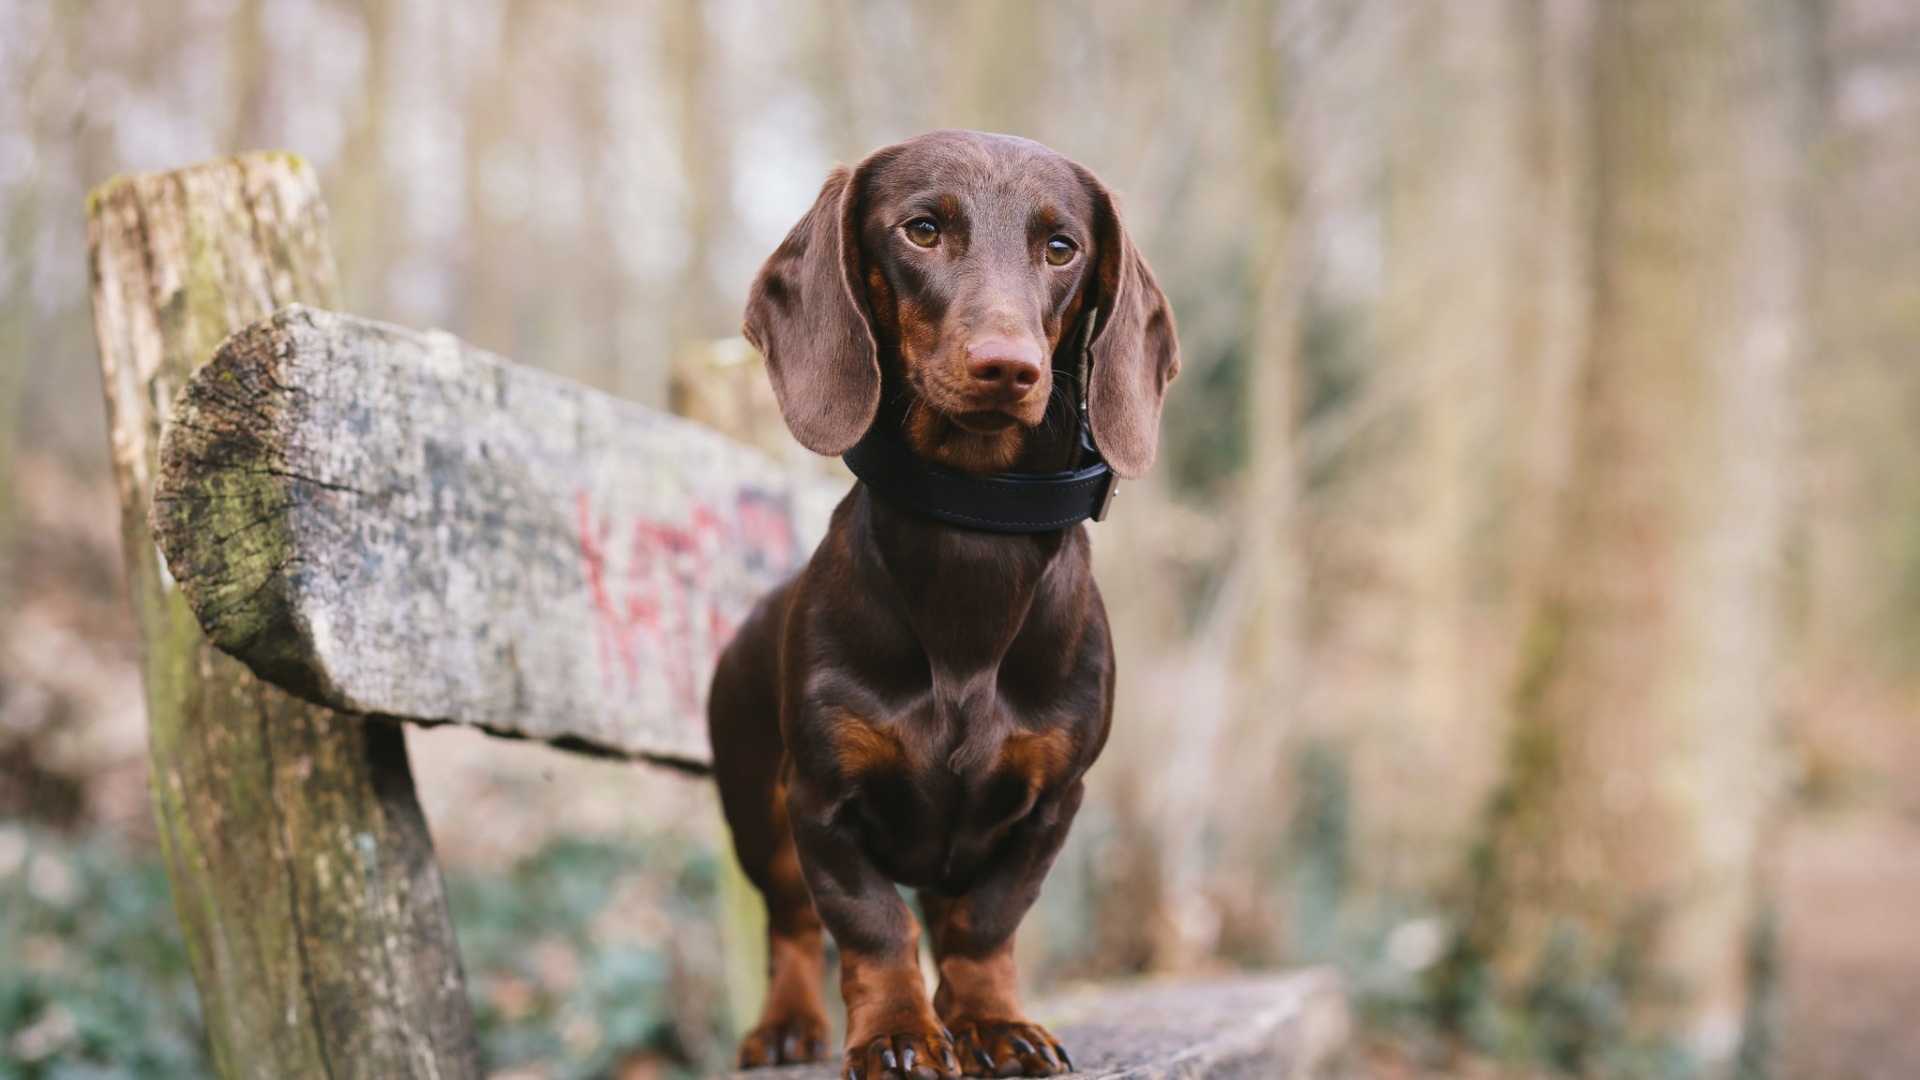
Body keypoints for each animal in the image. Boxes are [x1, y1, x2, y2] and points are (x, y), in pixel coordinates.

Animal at [714, 130, 1175, 1068]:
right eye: (922, 229)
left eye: (1062, 247)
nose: (1008, 368)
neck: (972, 534)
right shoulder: (821, 802)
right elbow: (872, 928)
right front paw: (897, 1034)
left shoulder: (1050, 804)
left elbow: (984, 926)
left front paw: (991, 1023)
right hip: (757, 817)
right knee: (791, 926)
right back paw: (787, 1026)